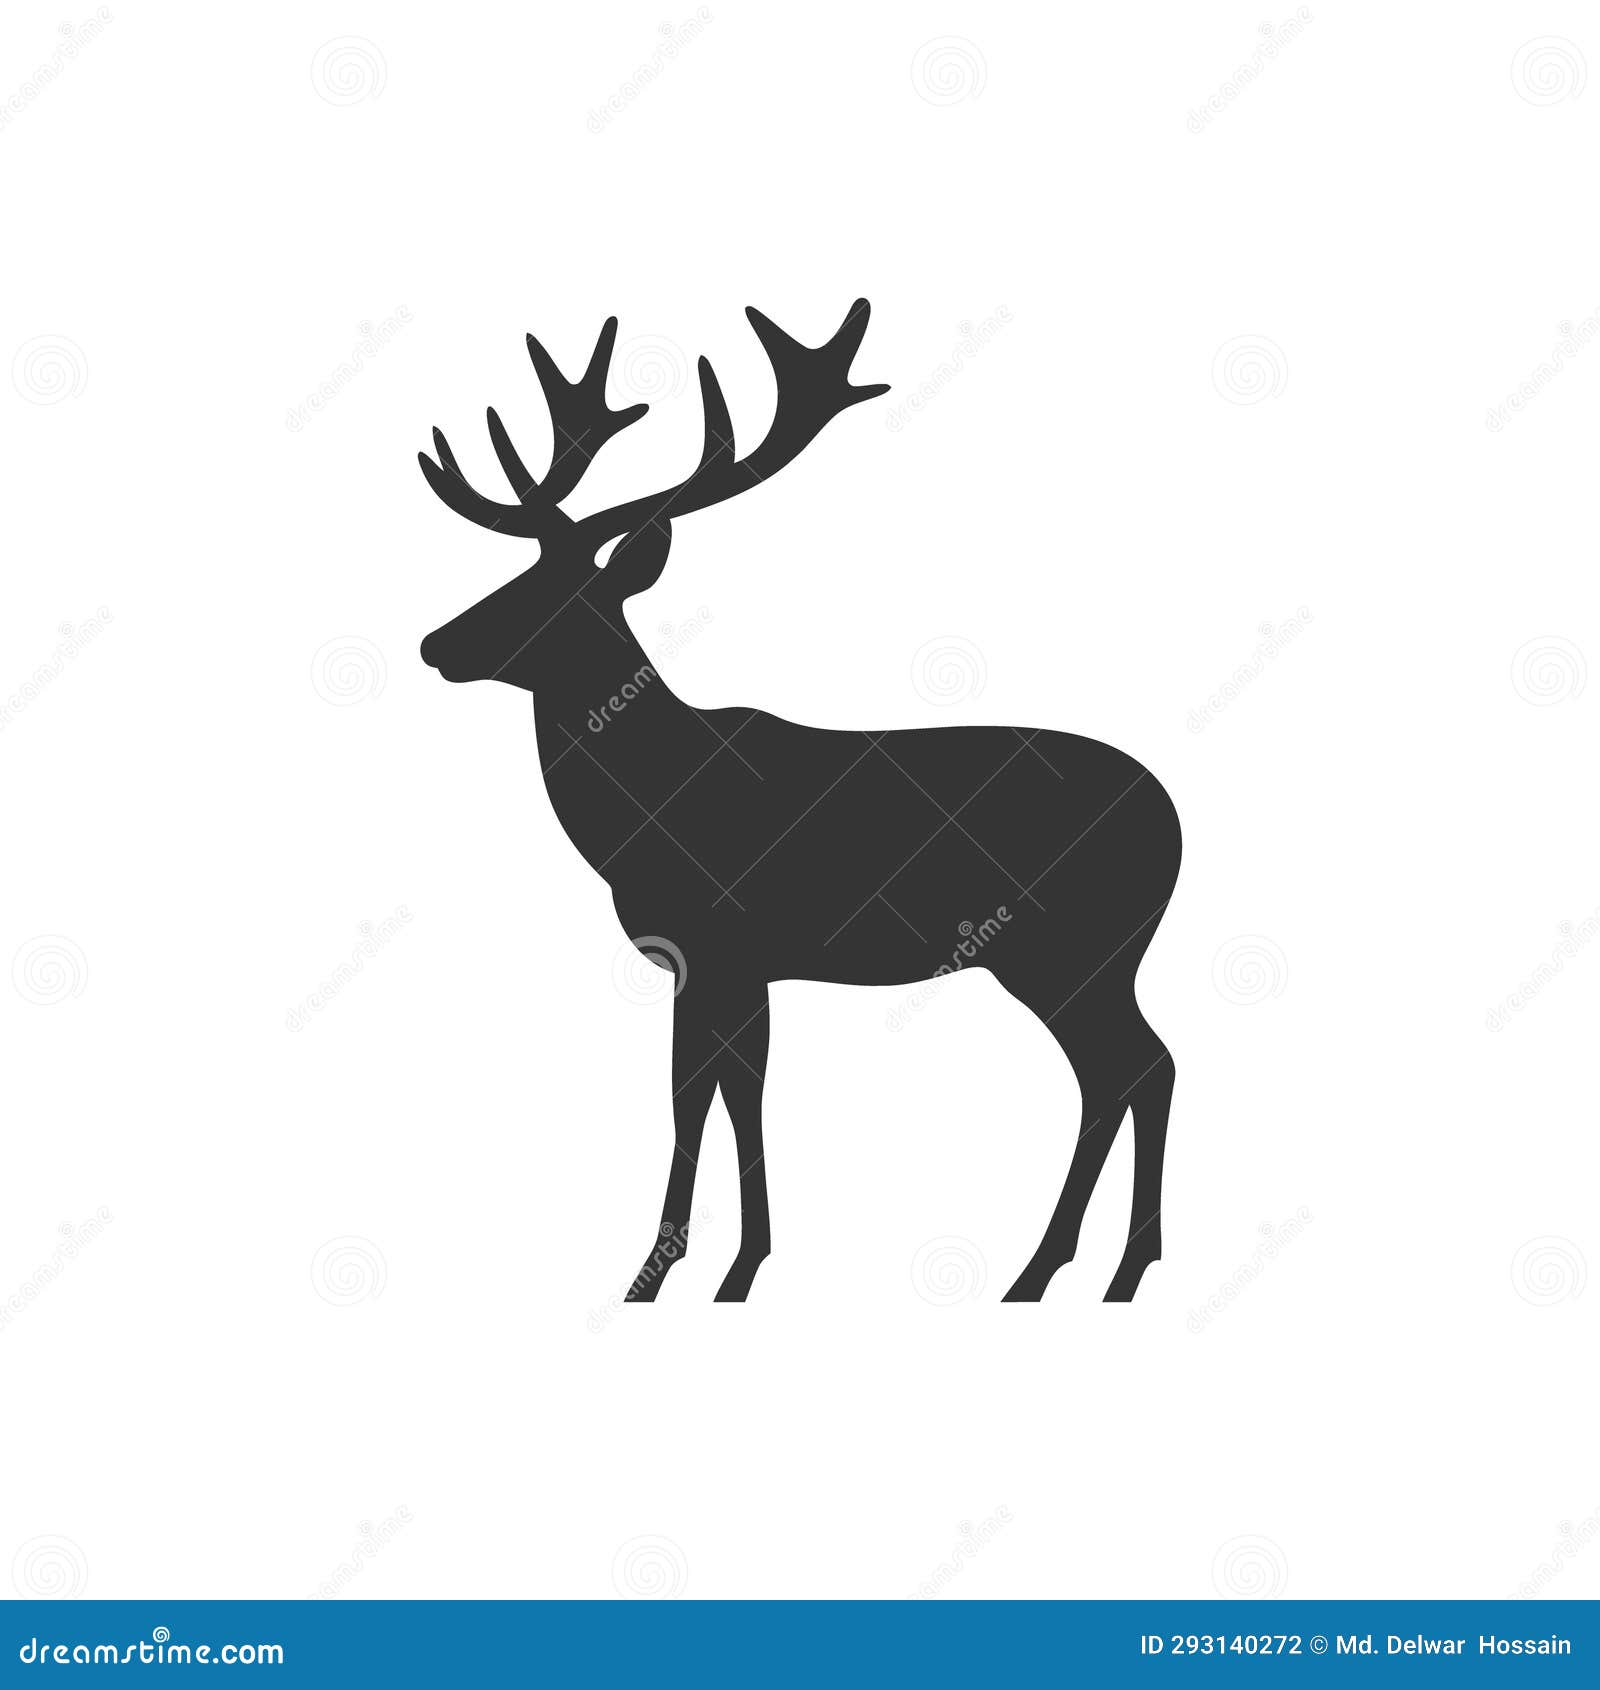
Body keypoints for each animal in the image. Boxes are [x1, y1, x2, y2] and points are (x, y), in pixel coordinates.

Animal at [417, 300, 1181, 1303]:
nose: (435, 643)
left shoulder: (726, 949)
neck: (647, 810)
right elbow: (714, 1095)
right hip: (1085, 958)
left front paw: (703, 1272)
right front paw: (692, 1271)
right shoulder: (709, 966)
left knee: (1134, 1066)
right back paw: (1075, 1269)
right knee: (1127, 1070)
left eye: (559, 595)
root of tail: (1177, 822)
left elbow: (717, 1098)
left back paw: (1093, 1269)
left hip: (1071, 946)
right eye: (513, 576)